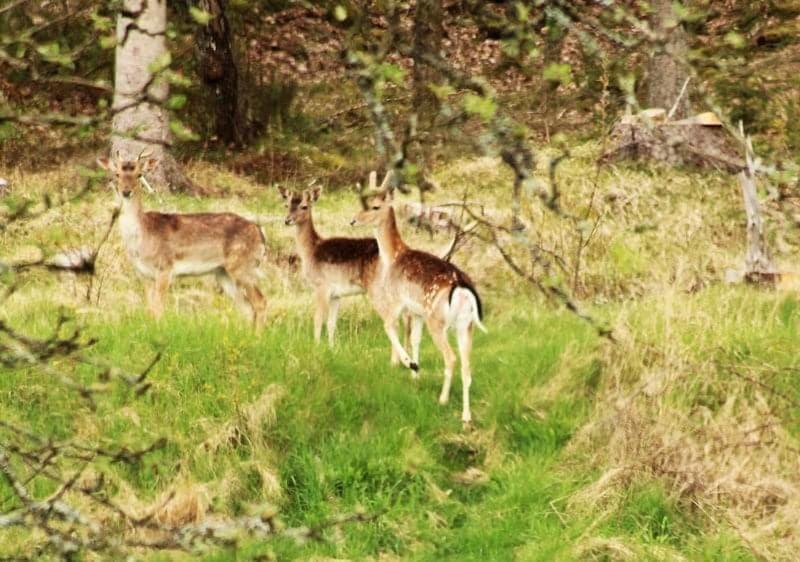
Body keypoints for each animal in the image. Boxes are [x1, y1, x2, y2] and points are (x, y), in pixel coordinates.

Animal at [98, 151, 268, 330]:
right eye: (117, 174)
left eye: (139, 175)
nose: (126, 191)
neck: (141, 239)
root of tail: (261, 233)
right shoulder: (143, 274)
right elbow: (150, 310)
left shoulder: (165, 268)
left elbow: (158, 308)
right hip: (223, 273)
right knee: (246, 308)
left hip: (243, 266)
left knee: (260, 301)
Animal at [278, 184, 412, 356]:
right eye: (286, 205)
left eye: (304, 206)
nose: (287, 220)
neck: (310, 251)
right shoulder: (336, 295)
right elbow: (331, 323)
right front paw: (332, 349)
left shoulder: (321, 286)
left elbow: (318, 319)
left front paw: (316, 348)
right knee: (406, 318)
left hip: (378, 289)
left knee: (395, 320)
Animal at [352, 171, 488, 424]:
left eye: (375, 206)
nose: (353, 220)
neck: (392, 257)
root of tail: (463, 289)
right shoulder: (417, 313)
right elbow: (414, 339)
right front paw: (416, 374)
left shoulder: (397, 300)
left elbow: (389, 327)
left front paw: (410, 364)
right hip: (466, 325)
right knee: (467, 366)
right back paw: (466, 417)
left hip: (438, 320)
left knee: (451, 358)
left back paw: (443, 399)